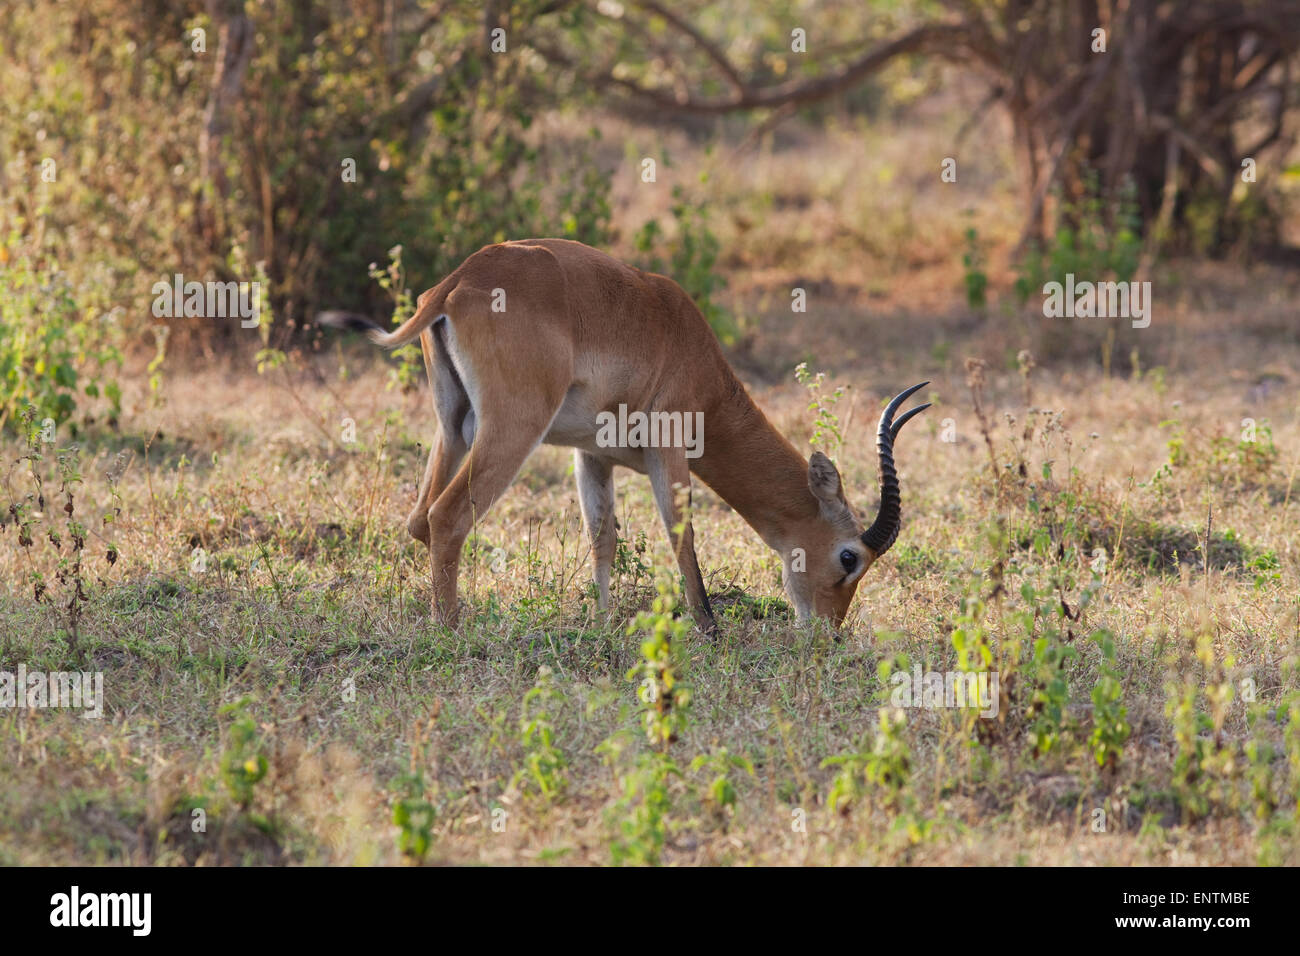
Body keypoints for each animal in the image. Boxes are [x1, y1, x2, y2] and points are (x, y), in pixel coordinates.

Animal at [319, 238, 930, 634]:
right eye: (850, 558)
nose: (829, 632)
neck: (697, 361)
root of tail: (459, 280)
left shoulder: (592, 456)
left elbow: (602, 537)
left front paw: (603, 624)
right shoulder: (670, 447)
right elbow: (681, 533)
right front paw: (709, 628)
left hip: (455, 424)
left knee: (419, 519)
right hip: (513, 428)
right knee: (446, 518)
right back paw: (452, 631)